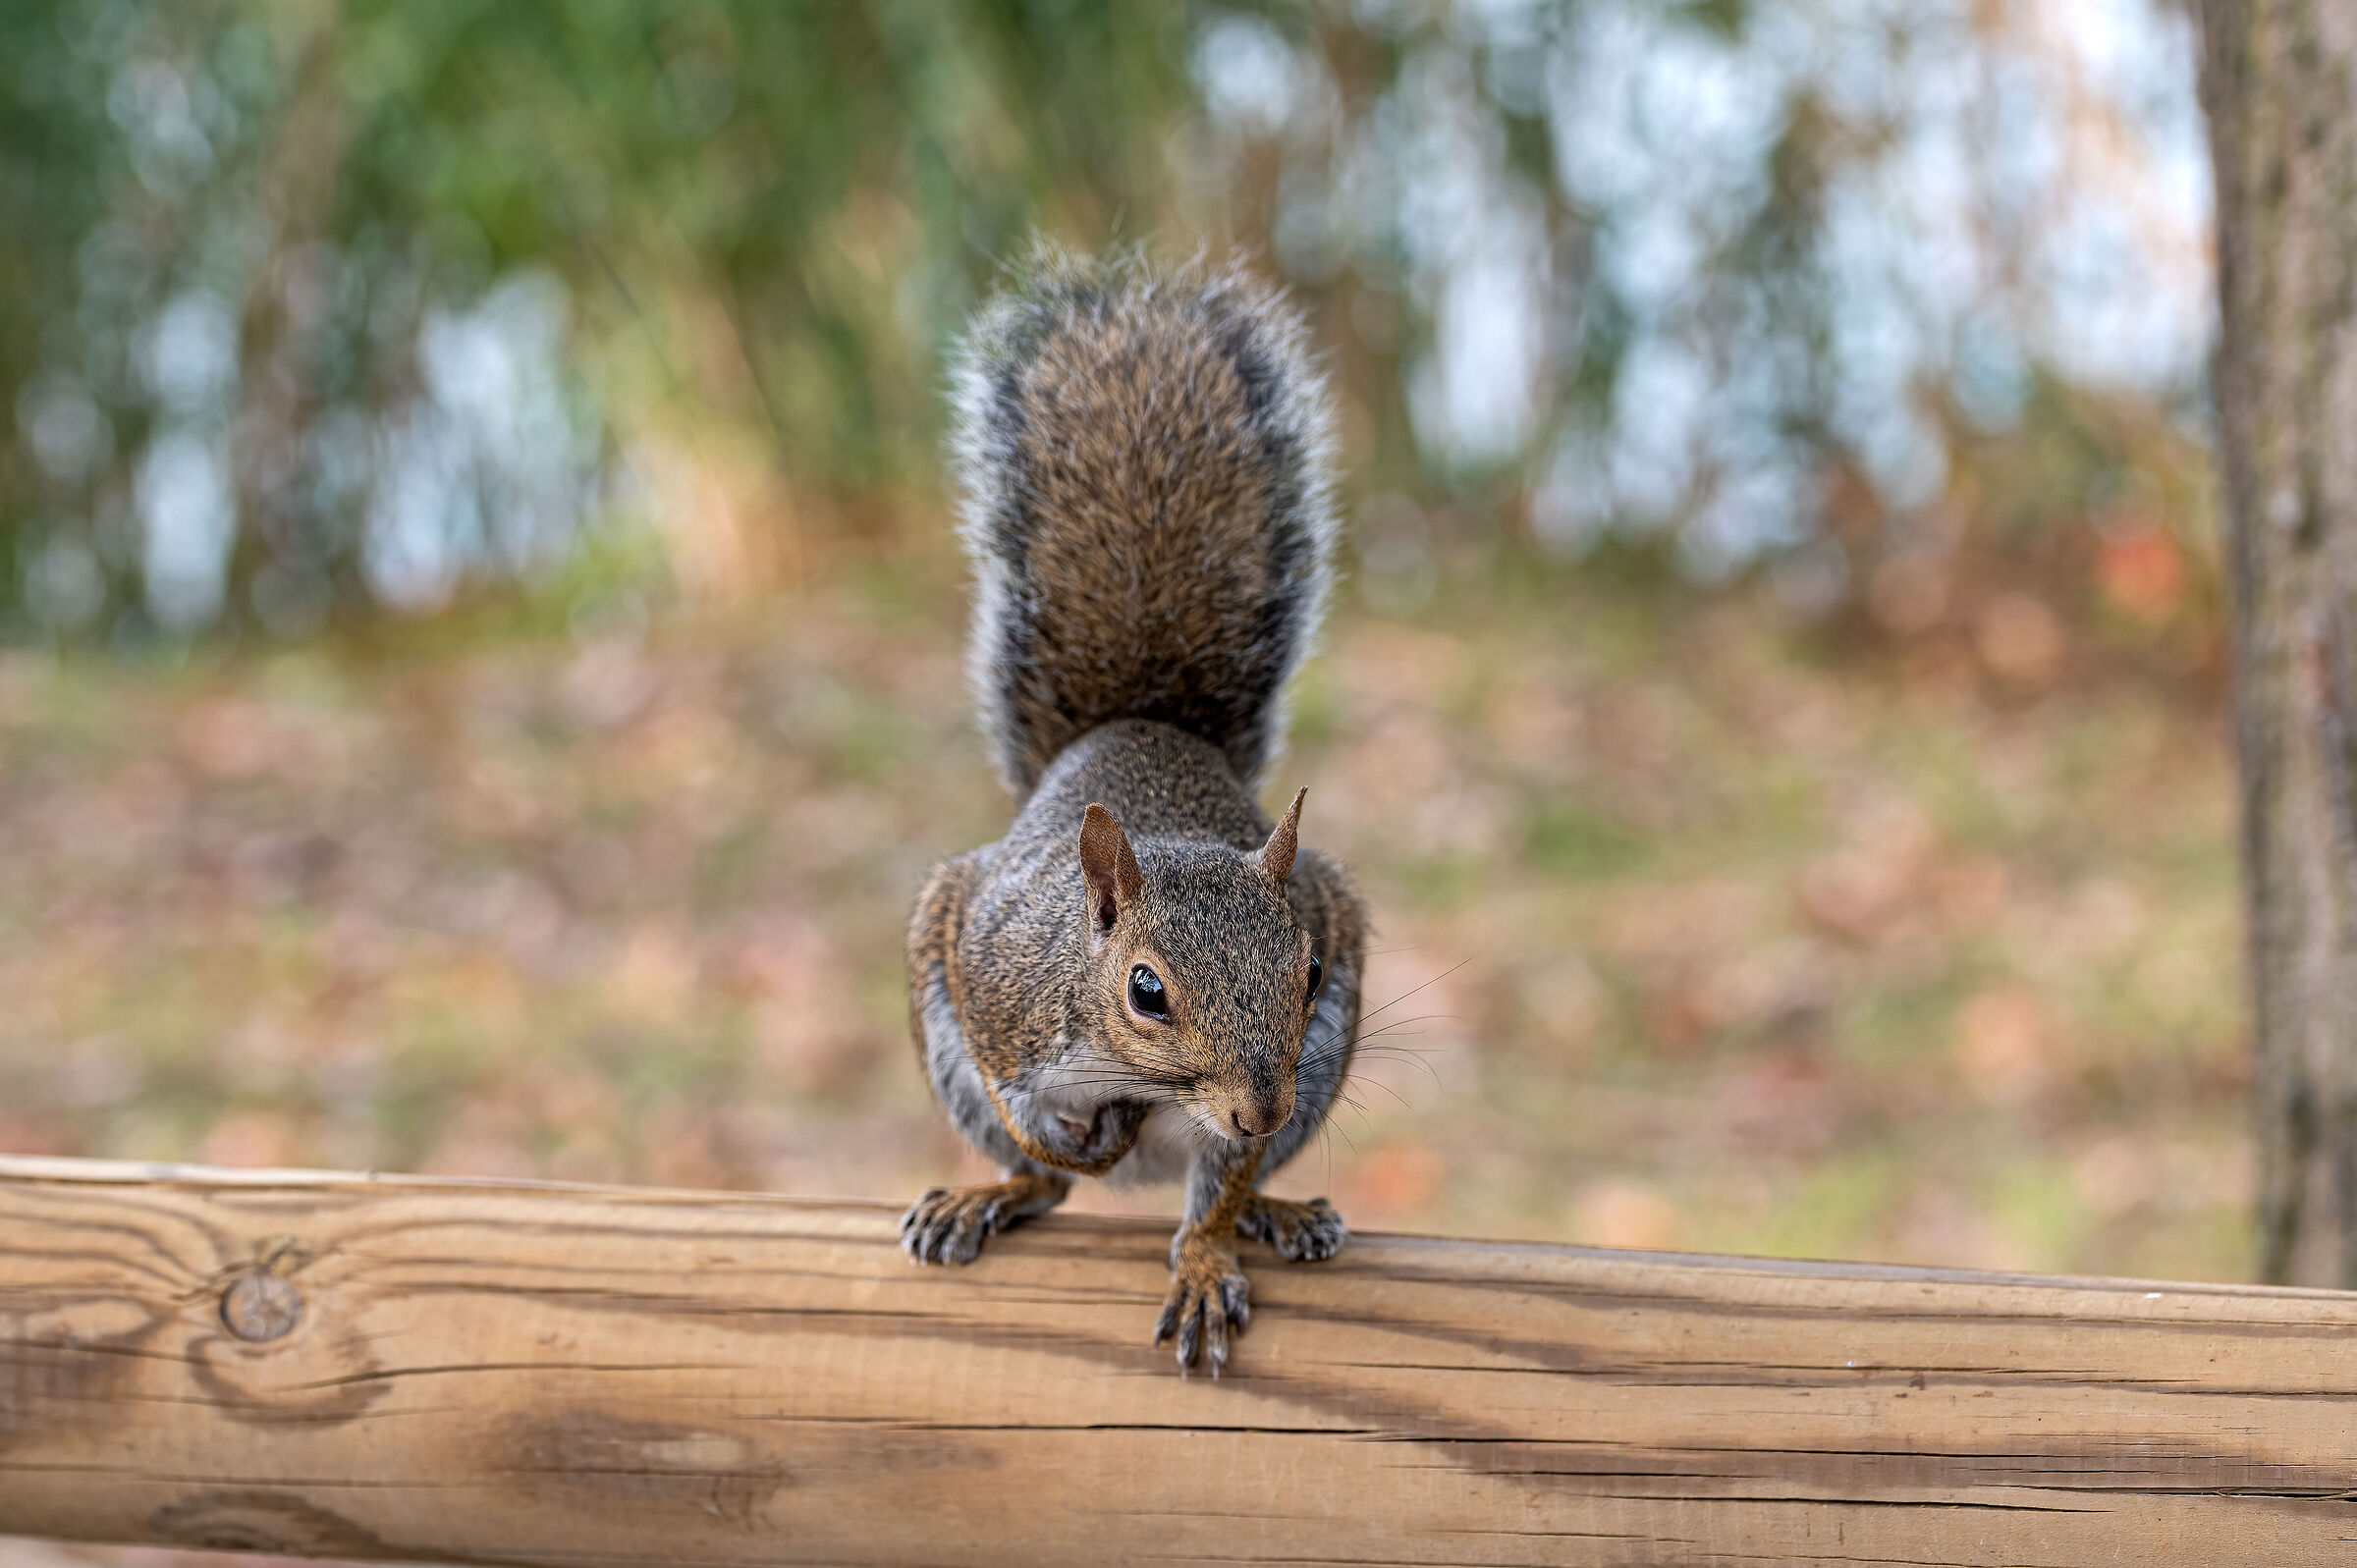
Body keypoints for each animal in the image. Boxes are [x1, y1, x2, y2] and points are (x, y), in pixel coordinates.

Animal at [900, 247, 1369, 1375]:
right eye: (1146, 992)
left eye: (1311, 970)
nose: (1260, 1107)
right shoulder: (990, 984)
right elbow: (1025, 1109)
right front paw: (1067, 1144)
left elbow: (1220, 1186)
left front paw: (1203, 1256)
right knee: (1038, 1180)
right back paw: (992, 1193)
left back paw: (1277, 1212)